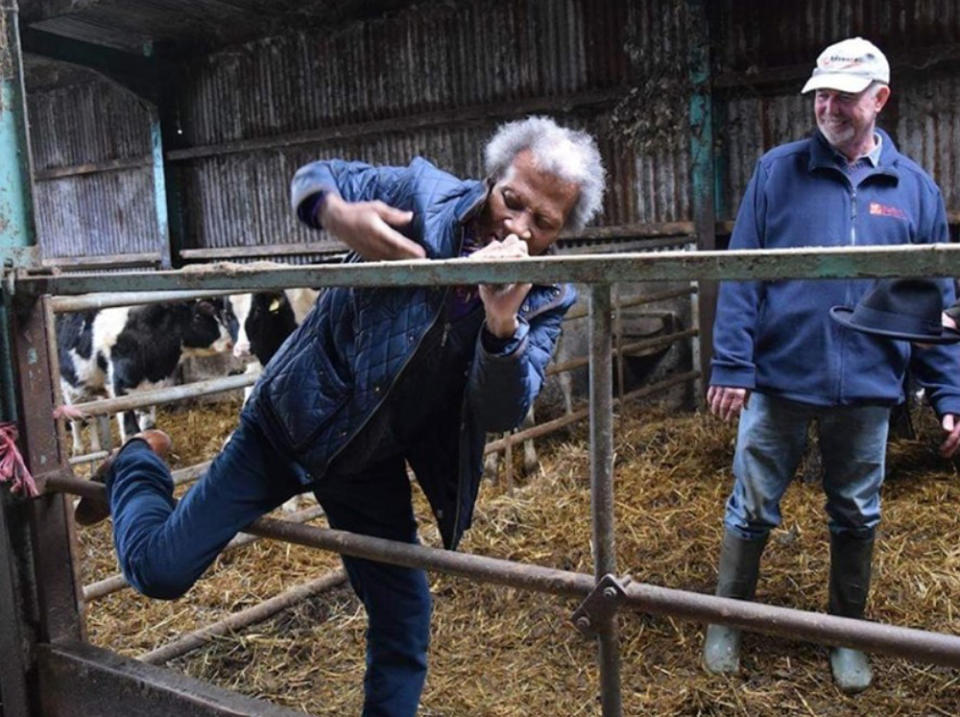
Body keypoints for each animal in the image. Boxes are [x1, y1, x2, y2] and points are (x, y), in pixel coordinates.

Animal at [58, 298, 234, 448]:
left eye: (219, 313)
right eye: (197, 316)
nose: (230, 341)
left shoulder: (148, 391)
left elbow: (148, 426)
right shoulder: (119, 391)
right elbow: (130, 432)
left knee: (90, 416)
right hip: (68, 388)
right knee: (75, 420)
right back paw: (78, 449)